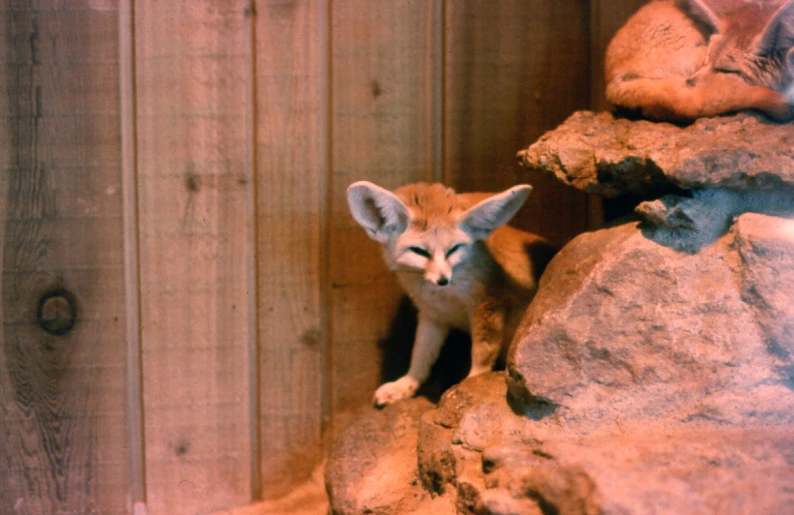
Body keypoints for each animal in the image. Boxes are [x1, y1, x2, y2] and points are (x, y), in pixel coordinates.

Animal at [344, 181, 552, 408]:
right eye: (419, 251)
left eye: (454, 249)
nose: (443, 279)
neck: (445, 296)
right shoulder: (433, 316)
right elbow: (420, 355)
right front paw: (406, 385)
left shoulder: (488, 306)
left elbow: (482, 355)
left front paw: (470, 385)